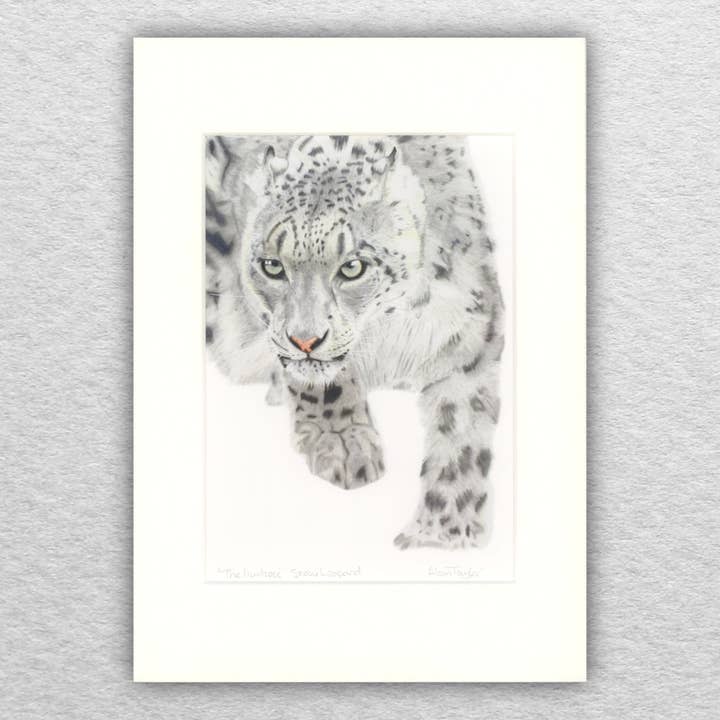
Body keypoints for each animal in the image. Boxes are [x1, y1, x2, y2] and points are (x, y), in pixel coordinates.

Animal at [205, 134, 504, 550]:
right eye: (272, 266)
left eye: (352, 267)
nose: (304, 340)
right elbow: (323, 381)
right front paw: (343, 443)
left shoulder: (471, 339)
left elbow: (462, 442)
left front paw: (442, 534)